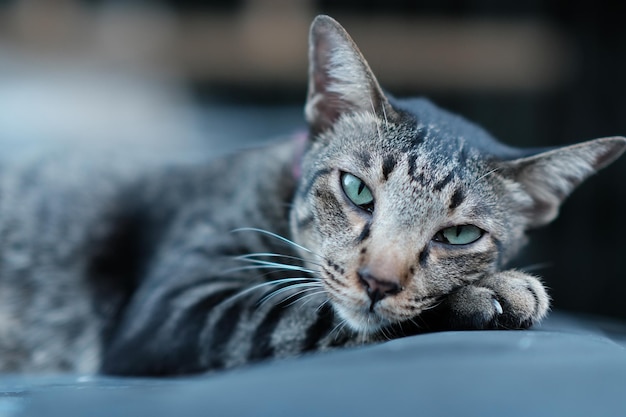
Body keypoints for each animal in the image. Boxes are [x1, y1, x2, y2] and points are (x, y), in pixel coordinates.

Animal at [0, 15, 620, 374]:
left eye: (460, 234)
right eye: (357, 190)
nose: (378, 282)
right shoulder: (171, 311)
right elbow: (314, 317)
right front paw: (487, 295)